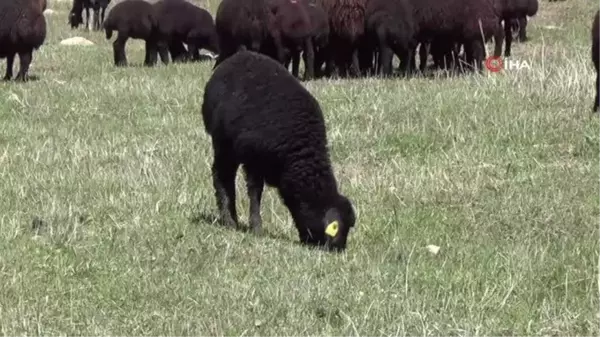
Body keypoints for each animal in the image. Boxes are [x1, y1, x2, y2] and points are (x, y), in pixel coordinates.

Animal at [202, 50, 356, 249]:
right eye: (337, 229)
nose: (337, 251)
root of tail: (237, 56)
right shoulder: (254, 161)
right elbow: (255, 193)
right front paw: (256, 228)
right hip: (223, 143)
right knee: (222, 176)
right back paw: (228, 220)